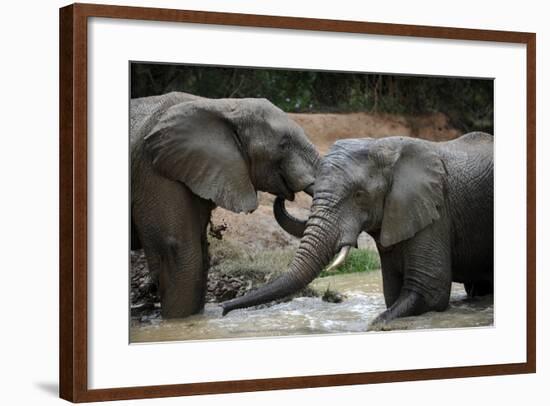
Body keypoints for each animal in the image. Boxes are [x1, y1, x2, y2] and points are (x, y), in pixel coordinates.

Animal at [222, 133, 498, 326]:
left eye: (359, 195)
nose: (224, 309)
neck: (386, 148)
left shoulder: (436, 210)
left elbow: (429, 290)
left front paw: (376, 323)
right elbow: (393, 292)